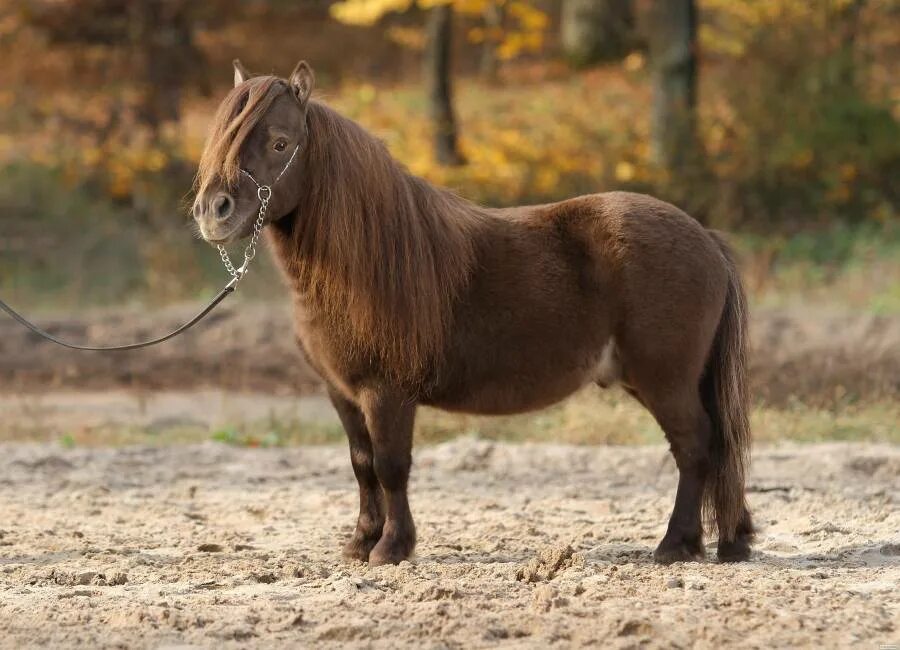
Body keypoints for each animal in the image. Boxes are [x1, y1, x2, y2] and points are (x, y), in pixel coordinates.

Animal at [193, 60, 756, 564]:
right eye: (221, 136)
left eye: (280, 142)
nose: (213, 211)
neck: (362, 267)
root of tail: (704, 237)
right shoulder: (342, 394)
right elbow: (362, 464)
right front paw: (360, 543)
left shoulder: (386, 393)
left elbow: (392, 465)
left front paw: (392, 548)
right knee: (712, 447)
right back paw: (729, 540)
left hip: (665, 381)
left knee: (695, 446)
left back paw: (675, 546)